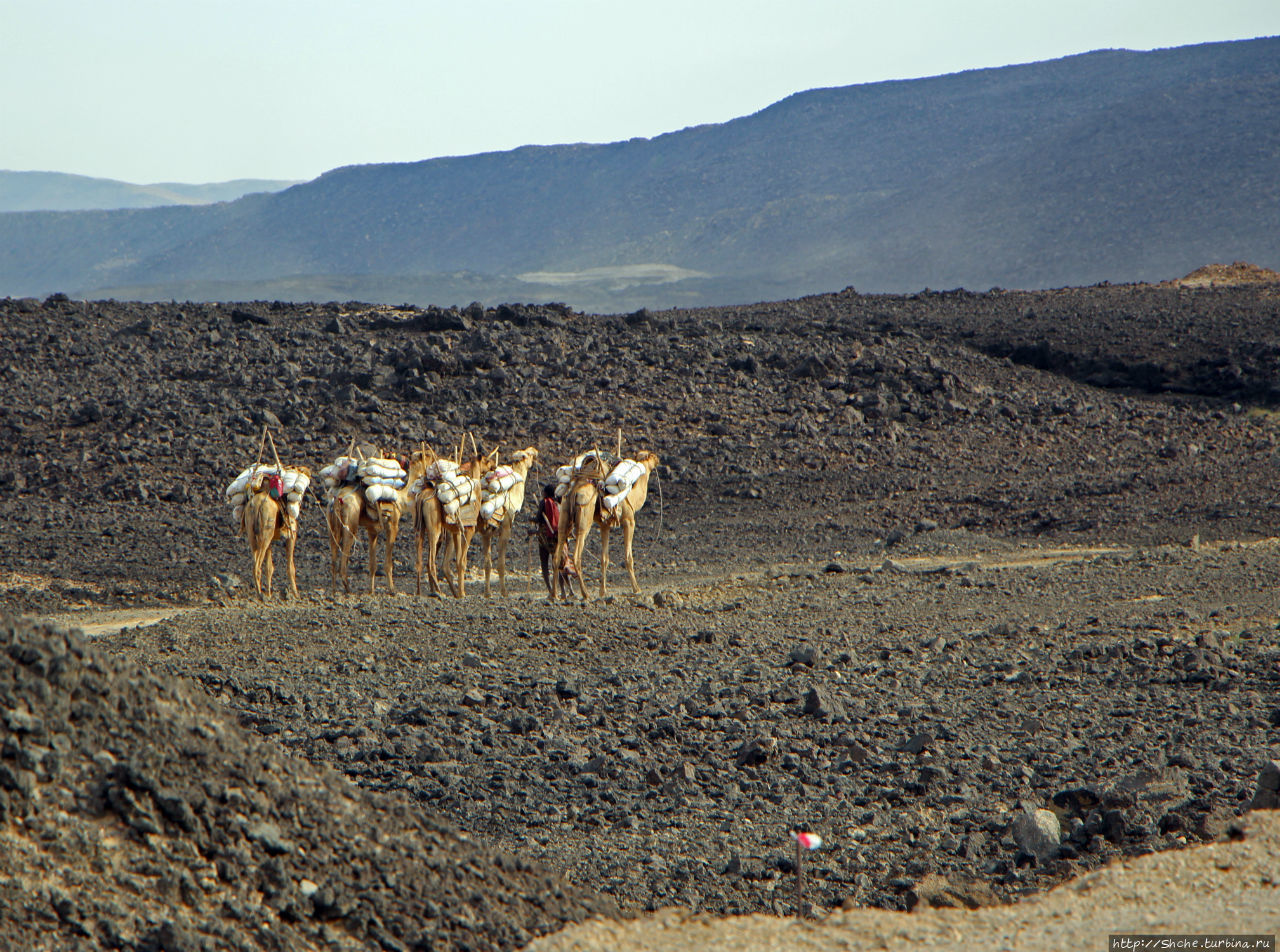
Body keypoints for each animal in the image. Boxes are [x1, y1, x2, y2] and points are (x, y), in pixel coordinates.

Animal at [481, 445, 540, 593]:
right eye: (528, 454)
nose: (535, 450)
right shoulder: (506, 527)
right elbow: (500, 562)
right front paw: (504, 592)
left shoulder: (486, 533)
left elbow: (487, 563)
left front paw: (487, 593)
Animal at [552, 450, 660, 598]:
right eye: (651, 455)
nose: (658, 458)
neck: (633, 497)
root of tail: (574, 492)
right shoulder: (629, 521)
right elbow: (628, 557)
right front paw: (636, 589)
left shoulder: (605, 525)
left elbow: (604, 558)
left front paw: (602, 591)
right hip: (584, 519)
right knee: (576, 555)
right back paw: (585, 594)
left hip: (564, 515)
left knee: (557, 555)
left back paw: (554, 595)